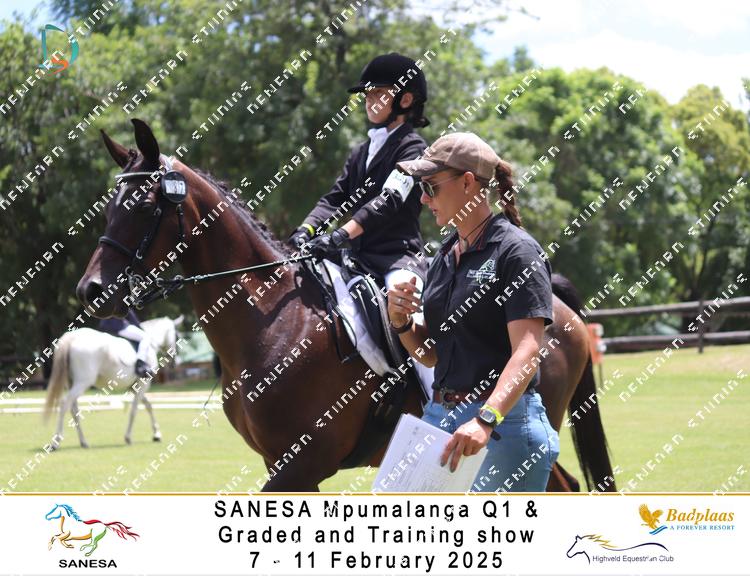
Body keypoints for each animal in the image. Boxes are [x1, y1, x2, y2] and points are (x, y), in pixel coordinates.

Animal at [43, 315, 183, 450]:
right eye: (176, 336)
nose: (174, 363)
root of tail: (72, 337)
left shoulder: (134, 386)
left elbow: (149, 405)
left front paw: (157, 434)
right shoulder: (143, 383)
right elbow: (134, 410)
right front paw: (128, 437)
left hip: (72, 383)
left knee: (73, 410)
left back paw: (83, 442)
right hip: (83, 382)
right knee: (64, 404)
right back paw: (55, 443)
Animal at [74, 118, 614, 492]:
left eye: (146, 205)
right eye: (109, 205)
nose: (90, 291)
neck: (272, 322)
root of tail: (557, 308)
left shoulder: (299, 465)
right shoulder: (283, 465)